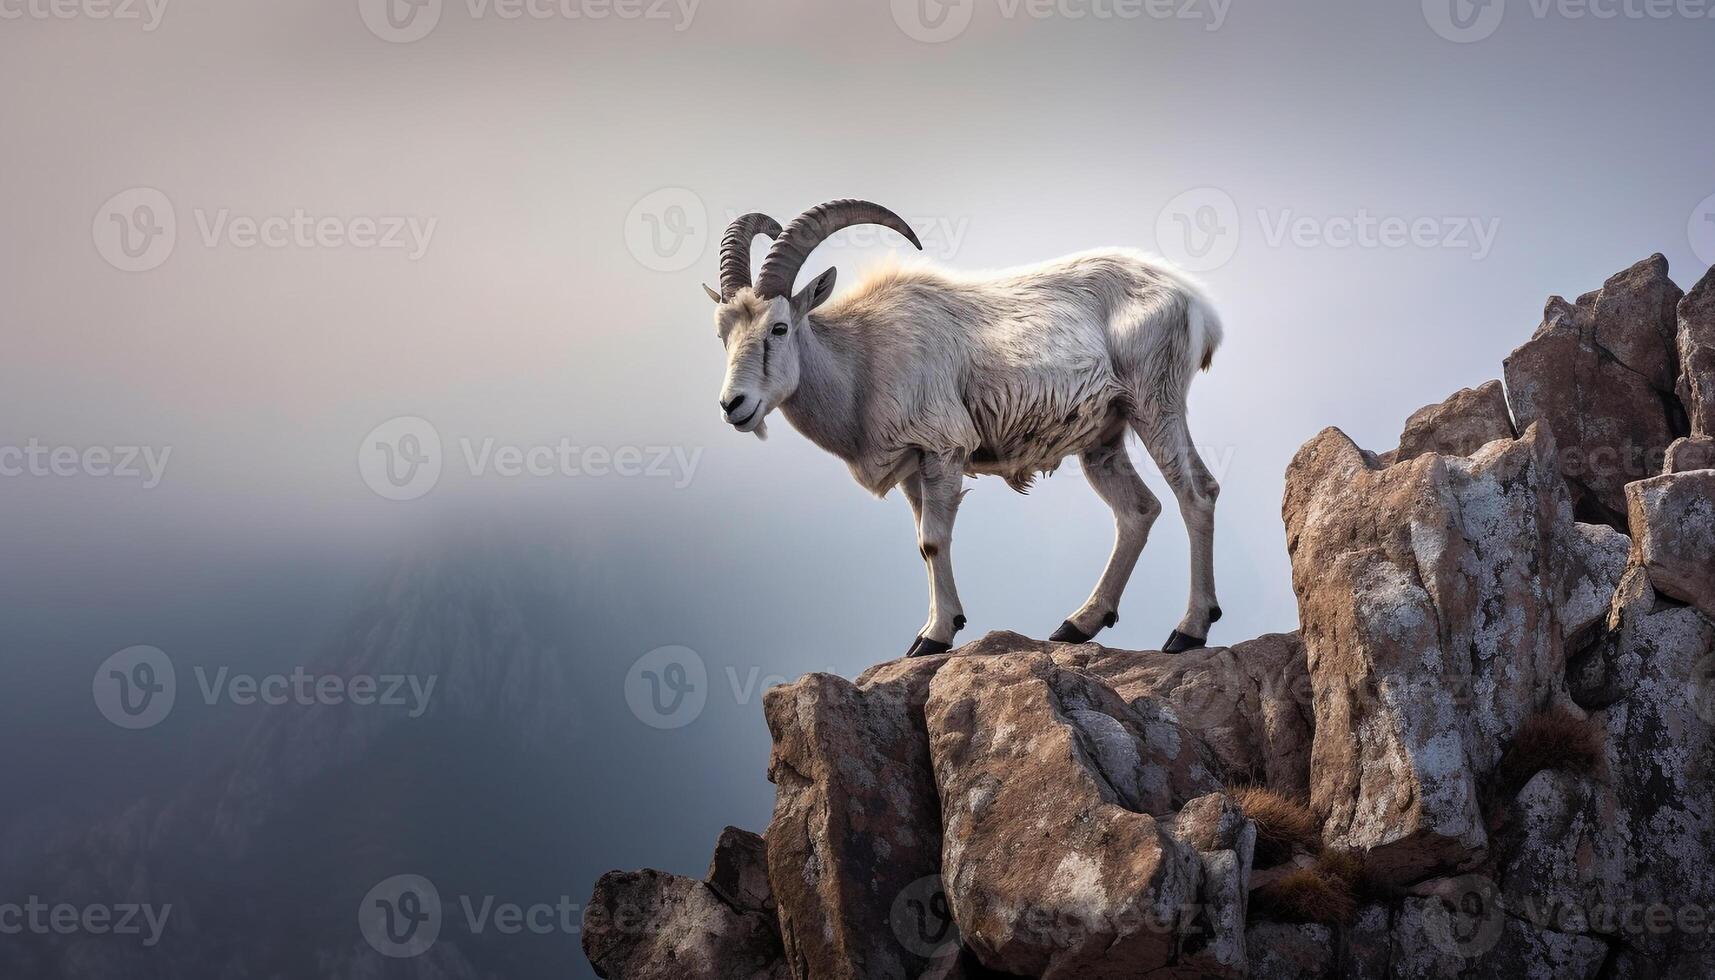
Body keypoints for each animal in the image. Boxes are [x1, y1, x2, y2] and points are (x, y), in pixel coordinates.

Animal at [703, 199, 1227, 659]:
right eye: (723, 332)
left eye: (779, 328)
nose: (734, 405)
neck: (862, 359)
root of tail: (1196, 304)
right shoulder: (912, 465)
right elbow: (923, 543)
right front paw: (938, 627)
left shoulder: (943, 450)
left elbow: (933, 539)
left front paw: (934, 637)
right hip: (1103, 438)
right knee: (1138, 510)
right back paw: (1078, 624)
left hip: (1154, 405)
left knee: (1196, 492)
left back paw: (1189, 630)